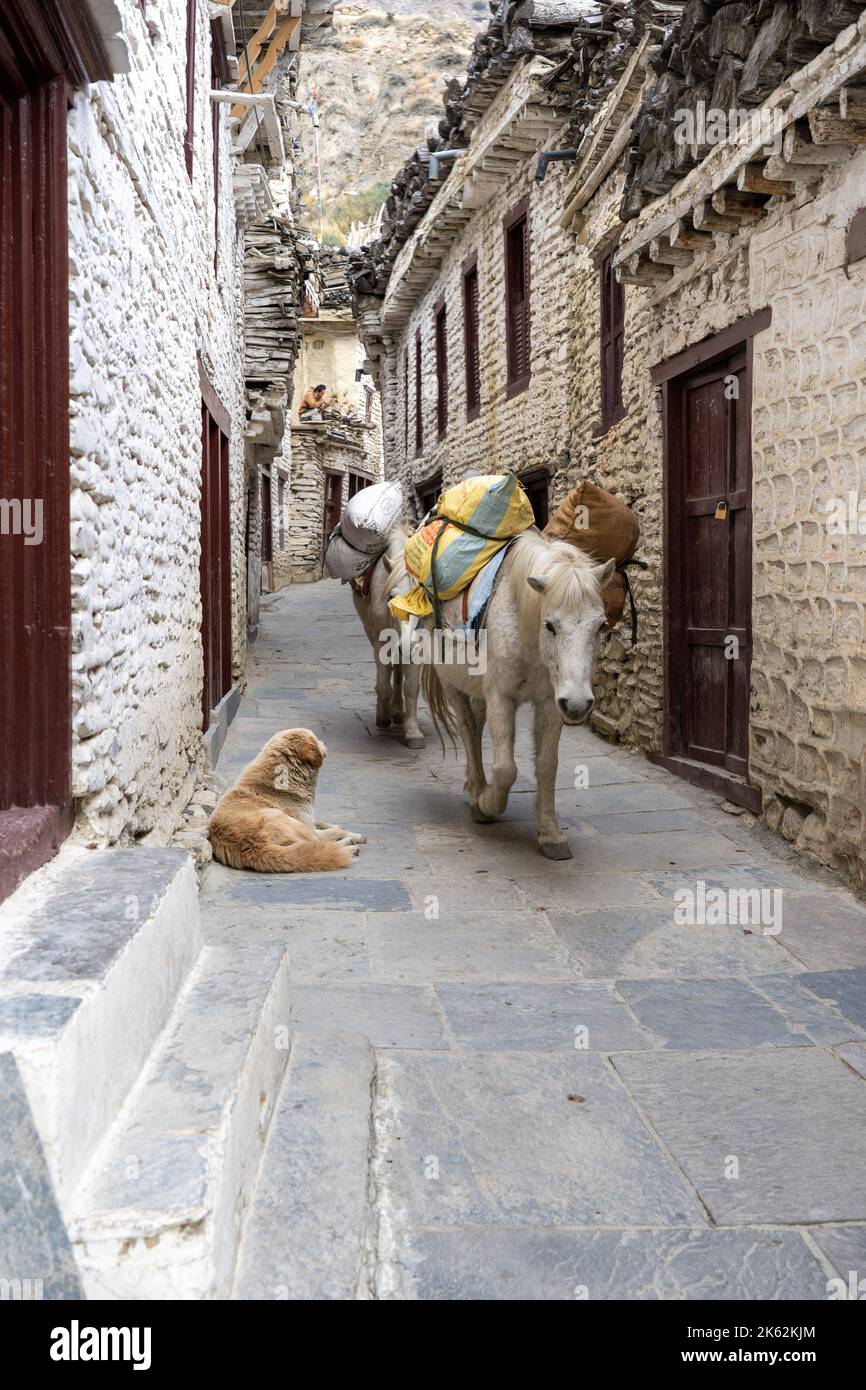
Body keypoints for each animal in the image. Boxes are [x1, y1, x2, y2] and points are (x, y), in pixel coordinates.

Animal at [209, 728, 366, 867]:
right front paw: (355, 836)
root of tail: (251, 846)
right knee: (319, 844)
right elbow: (334, 831)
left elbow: (322, 822)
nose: (326, 742)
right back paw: (350, 847)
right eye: (316, 739)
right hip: (291, 823)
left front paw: (339, 826)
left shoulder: (309, 818)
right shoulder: (309, 827)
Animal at [353, 528, 428, 750]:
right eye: (391, 597)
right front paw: (383, 717)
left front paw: (413, 732)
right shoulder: (381, 643)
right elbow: (383, 683)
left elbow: (411, 687)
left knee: (399, 671)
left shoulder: (419, 646)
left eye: (422, 602)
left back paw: (398, 711)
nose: (406, 646)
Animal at [422, 528, 614, 856]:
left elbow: (547, 765)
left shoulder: (551, 702)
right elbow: (505, 769)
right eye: (550, 625)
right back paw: (477, 793)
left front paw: (550, 834)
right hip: (451, 684)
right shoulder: (502, 697)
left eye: (600, 626)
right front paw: (487, 803)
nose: (578, 705)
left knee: (476, 726)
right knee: (467, 728)